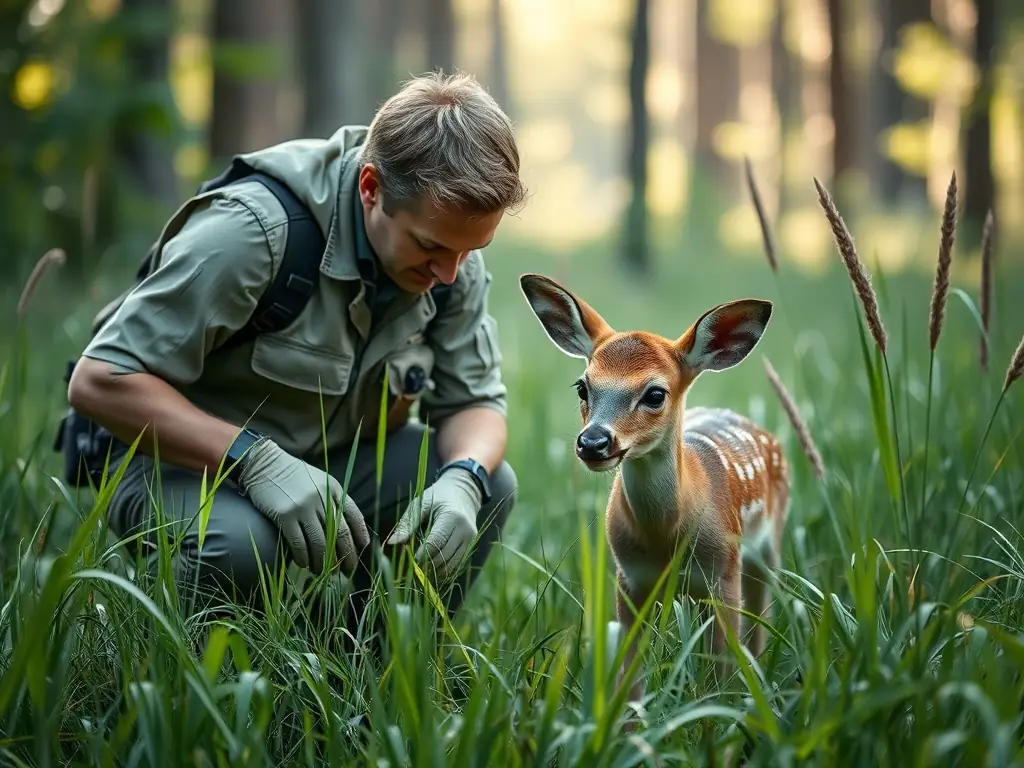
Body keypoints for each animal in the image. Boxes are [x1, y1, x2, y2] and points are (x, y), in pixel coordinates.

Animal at [519, 272, 790, 710]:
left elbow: (722, 671)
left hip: (766, 547)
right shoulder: (629, 579)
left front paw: (720, 718)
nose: (593, 442)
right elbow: (630, 678)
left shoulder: (722, 573)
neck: (665, 536)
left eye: (655, 394)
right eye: (582, 387)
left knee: (760, 623)